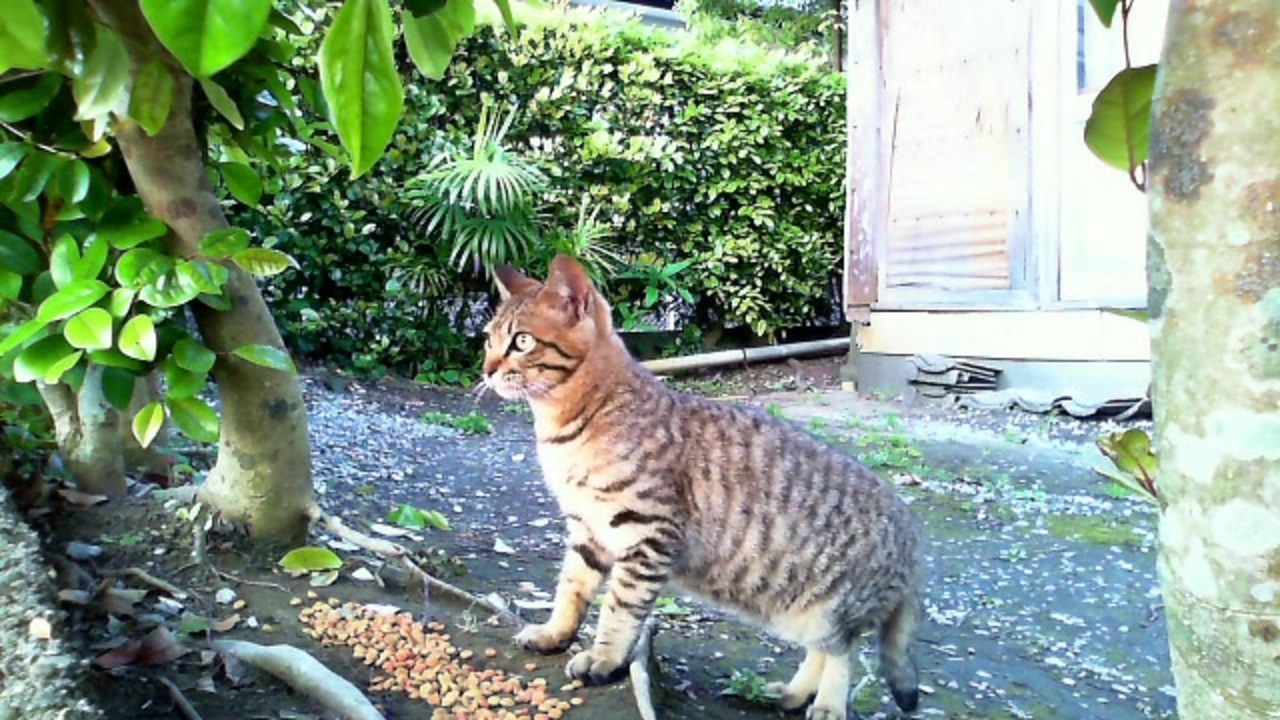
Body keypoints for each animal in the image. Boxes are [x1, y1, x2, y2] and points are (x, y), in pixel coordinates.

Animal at [482, 255, 924, 719]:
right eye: (489, 340)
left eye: (522, 342)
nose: (487, 370)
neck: (564, 429)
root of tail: (911, 530)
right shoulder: (588, 530)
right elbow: (571, 589)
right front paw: (555, 632)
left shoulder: (649, 534)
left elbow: (619, 608)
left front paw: (604, 658)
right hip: (799, 612)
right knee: (822, 650)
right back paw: (792, 693)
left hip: (830, 607)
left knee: (843, 651)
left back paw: (827, 705)